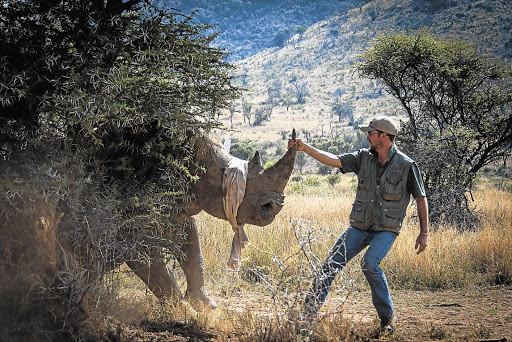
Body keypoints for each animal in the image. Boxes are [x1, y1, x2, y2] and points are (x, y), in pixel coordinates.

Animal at [125, 130, 300, 310]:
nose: (274, 207)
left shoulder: (179, 205)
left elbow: (192, 248)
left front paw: (205, 305)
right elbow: (153, 265)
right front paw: (186, 311)